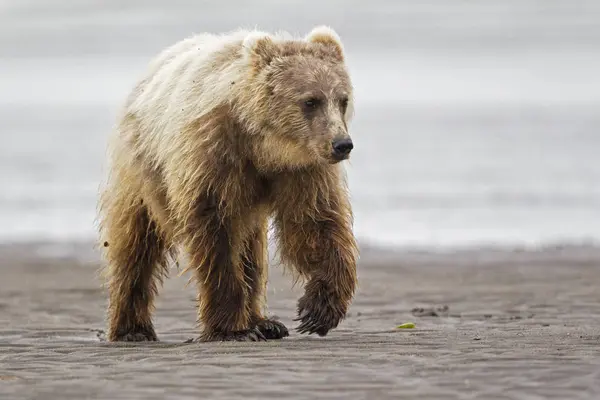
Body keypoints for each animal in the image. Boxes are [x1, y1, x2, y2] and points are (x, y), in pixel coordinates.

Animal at [98, 26, 358, 342]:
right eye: (310, 101)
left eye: (342, 99)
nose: (342, 144)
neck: (264, 147)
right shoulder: (213, 156)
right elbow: (215, 236)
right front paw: (232, 328)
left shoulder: (303, 169)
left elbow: (314, 223)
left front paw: (319, 309)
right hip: (142, 168)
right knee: (135, 242)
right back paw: (132, 329)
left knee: (252, 251)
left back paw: (265, 322)